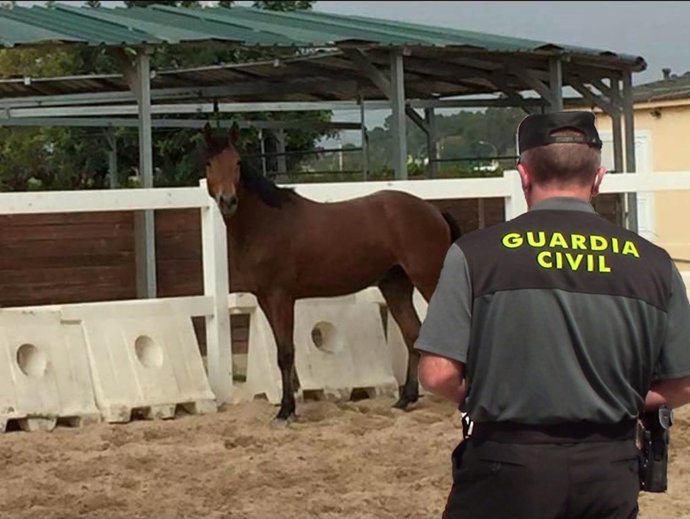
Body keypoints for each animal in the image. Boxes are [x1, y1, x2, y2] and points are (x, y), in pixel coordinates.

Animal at [203, 123, 462, 424]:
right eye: (209, 162)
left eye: (237, 163)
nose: (228, 200)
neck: (267, 223)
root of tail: (434, 211)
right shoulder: (265, 299)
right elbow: (282, 352)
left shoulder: (281, 297)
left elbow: (286, 352)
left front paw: (286, 410)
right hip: (395, 286)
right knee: (413, 334)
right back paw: (405, 399)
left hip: (429, 280)